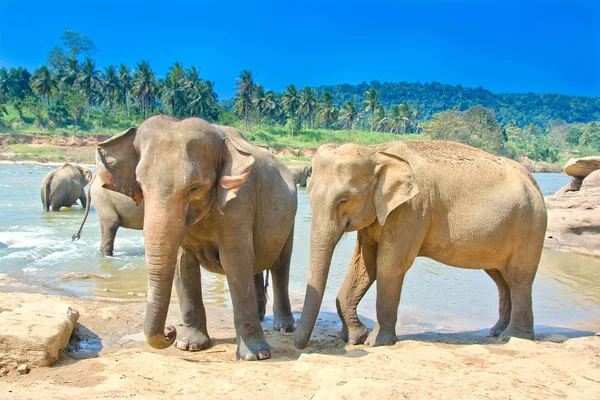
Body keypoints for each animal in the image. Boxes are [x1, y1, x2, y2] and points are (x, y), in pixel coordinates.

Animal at [94, 115, 298, 360]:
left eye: (194, 188)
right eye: (140, 185)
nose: (170, 331)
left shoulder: (239, 201)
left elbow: (235, 261)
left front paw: (255, 356)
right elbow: (183, 265)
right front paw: (188, 345)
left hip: (289, 219)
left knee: (280, 266)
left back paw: (284, 327)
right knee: (257, 267)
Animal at [292, 141, 548, 350]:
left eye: (343, 200)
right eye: (309, 195)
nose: (298, 343)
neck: (377, 151)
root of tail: (533, 181)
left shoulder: (412, 210)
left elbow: (389, 266)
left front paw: (375, 342)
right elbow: (365, 267)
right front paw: (355, 337)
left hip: (529, 227)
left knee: (518, 278)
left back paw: (514, 337)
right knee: (501, 279)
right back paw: (496, 332)